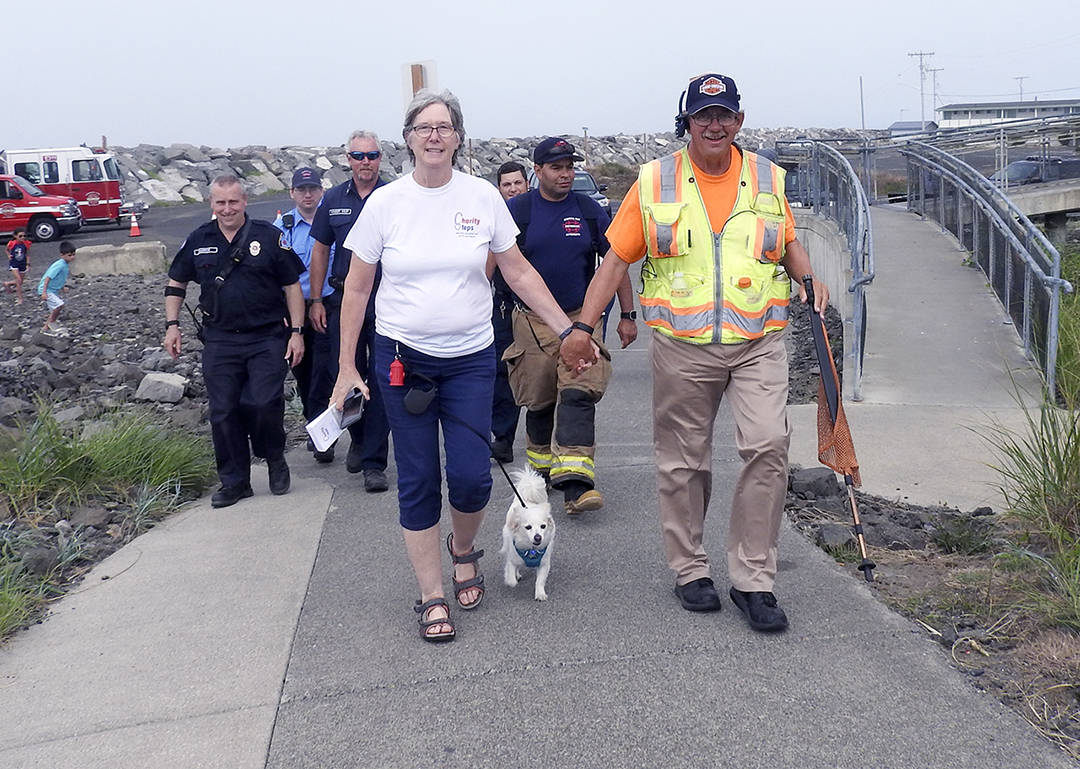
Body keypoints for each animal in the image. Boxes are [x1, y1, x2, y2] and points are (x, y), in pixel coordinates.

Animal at [501, 468, 557, 600]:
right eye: (528, 527)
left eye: (543, 526)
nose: (538, 537)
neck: (532, 550)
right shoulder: (512, 559)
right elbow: (511, 576)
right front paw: (512, 579)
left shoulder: (544, 564)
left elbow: (540, 581)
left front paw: (540, 594)